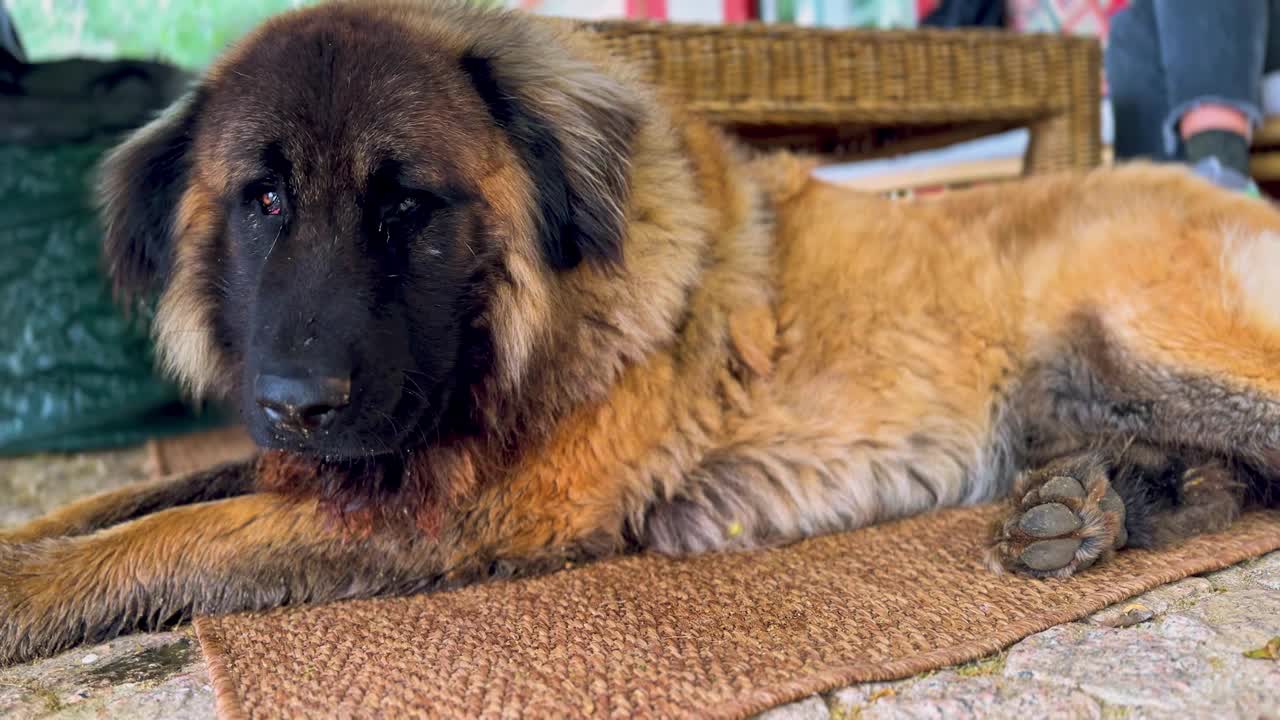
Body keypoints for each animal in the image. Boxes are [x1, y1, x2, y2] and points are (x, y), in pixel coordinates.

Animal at [2, 0, 1280, 666]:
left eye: (407, 206)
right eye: (260, 201)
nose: (297, 403)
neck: (549, 313)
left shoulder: (467, 510)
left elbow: (180, 533)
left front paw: (25, 590)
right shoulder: (347, 458)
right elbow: (136, 498)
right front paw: (35, 533)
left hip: (1139, 336)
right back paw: (1104, 508)